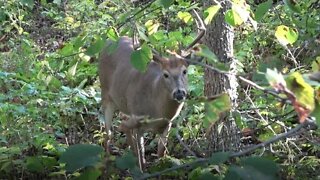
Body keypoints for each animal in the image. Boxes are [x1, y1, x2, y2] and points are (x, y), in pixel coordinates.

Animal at [97, 9, 205, 170]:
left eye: (185, 71)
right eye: (165, 74)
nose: (179, 92)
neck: (157, 109)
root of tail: (108, 42)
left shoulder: (167, 124)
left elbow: (161, 154)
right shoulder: (139, 121)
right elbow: (142, 158)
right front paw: (142, 168)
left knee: (122, 122)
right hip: (105, 93)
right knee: (108, 132)